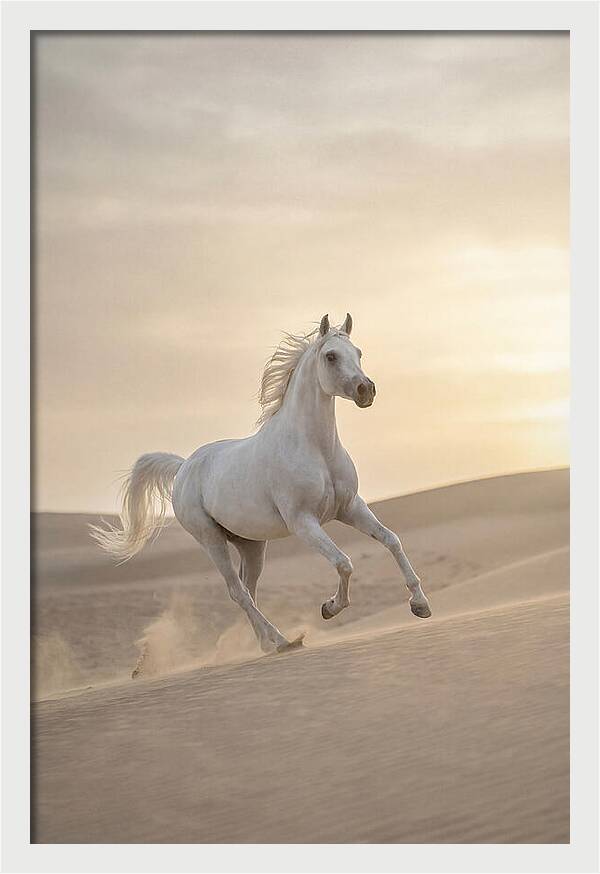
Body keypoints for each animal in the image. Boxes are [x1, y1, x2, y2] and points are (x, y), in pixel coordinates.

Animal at [91, 313, 431, 662]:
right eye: (331, 356)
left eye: (359, 353)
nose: (366, 390)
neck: (316, 448)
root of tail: (184, 466)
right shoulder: (303, 523)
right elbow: (343, 563)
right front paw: (330, 607)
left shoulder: (350, 508)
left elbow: (391, 540)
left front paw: (420, 605)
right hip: (210, 539)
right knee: (237, 592)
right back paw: (282, 641)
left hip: (251, 545)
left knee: (248, 590)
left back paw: (266, 643)